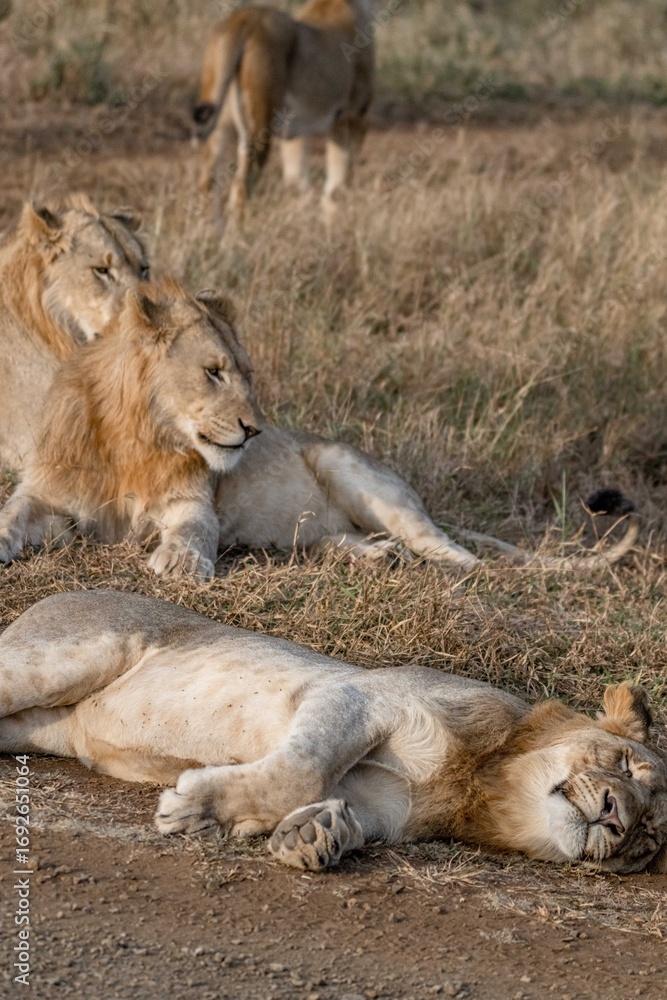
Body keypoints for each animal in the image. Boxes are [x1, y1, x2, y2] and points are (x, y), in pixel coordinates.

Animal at [0, 279, 261, 580]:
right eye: (213, 371)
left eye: (248, 374)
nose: (254, 430)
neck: (140, 436)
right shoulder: (49, 489)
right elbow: (13, 511)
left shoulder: (190, 499)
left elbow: (196, 529)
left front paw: (183, 561)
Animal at [1, 590, 665, 874]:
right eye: (624, 765)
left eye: (646, 842)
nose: (616, 817)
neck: (479, 787)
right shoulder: (361, 697)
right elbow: (301, 769)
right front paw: (193, 809)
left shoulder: (384, 808)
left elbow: (334, 808)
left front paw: (314, 836)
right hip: (61, 660)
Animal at [194, 0, 374, 216]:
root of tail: (245, 18)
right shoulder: (352, 114)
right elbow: (341, 169)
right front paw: (338, 210)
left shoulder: (295, 130)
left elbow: (297, 176)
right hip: (259, 128)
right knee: (241, 187)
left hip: (218, 128)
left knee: (206, 185)